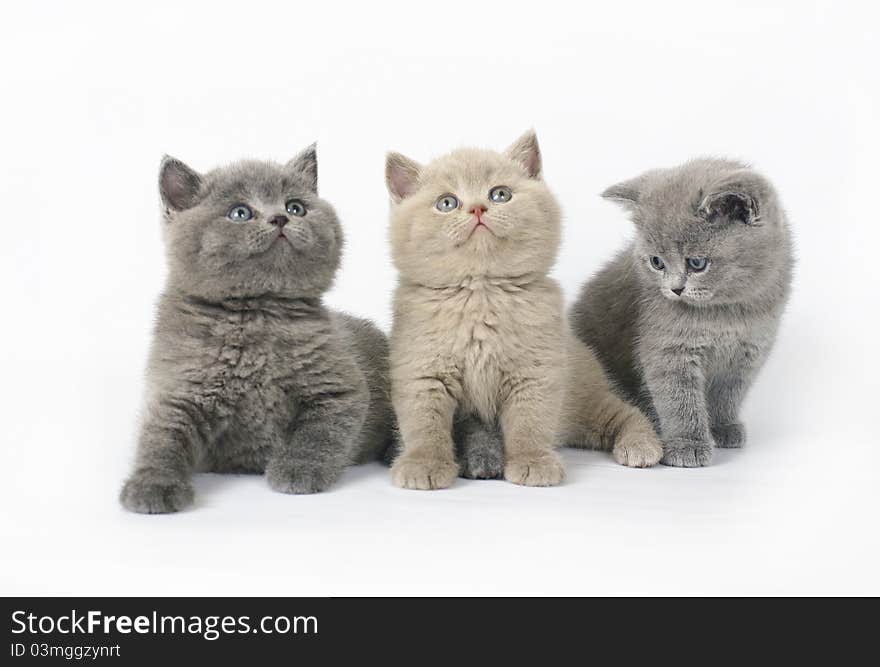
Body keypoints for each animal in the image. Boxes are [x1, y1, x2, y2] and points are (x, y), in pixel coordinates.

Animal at [118, 144, 394, 516]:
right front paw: (152, 485)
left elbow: (319, 432)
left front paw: (298, 469)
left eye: (296, 207)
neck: (257, 314)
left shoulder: (339, 386)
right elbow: (161, 438)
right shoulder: (178, 389)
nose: (280, 218)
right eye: (240, 213)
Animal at [384, 132, 660, 490]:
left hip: (583, 397)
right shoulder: (421, 370)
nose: (477, 208)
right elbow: (423, 424)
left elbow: (530, 422)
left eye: (500, 194)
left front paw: (533, 462)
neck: (480, 293)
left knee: (625, 412)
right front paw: (423, 464)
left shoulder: (537, 372)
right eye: (447, 203)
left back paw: (641, 445)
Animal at [572, 159, 792, 468]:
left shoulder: (747, 353)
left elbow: (728, 394)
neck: (726, 314)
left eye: (697, 263)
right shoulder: (669, 348)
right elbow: (678, 400)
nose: (675, 289)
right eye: (657, 262)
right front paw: (688, 444)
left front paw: (723, 427)